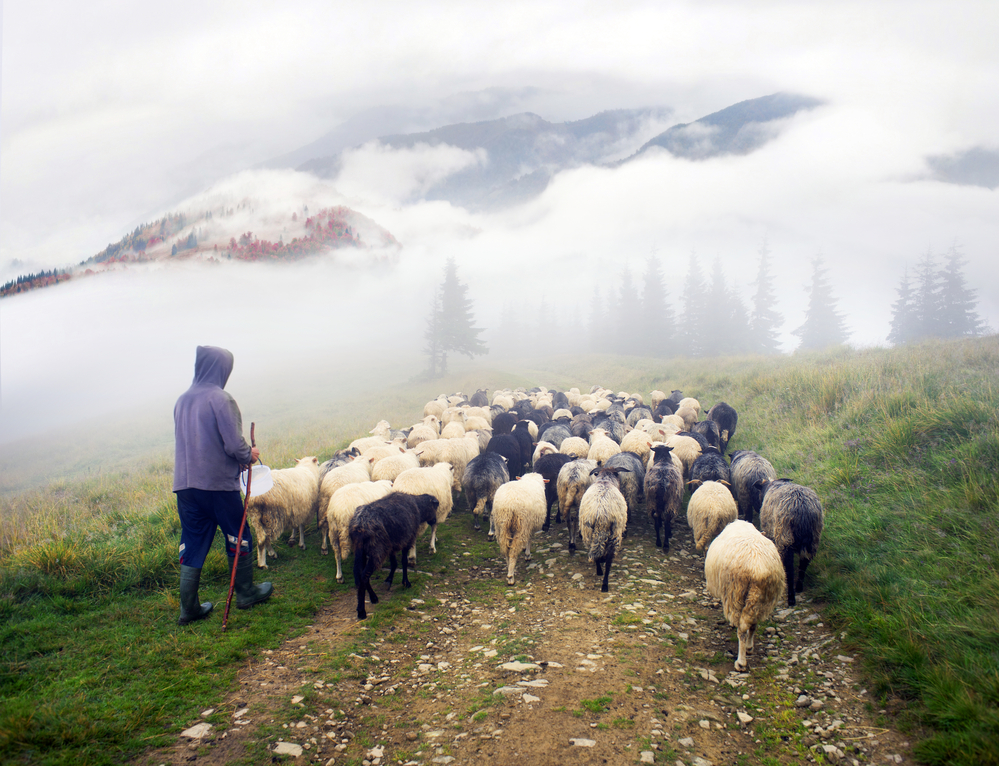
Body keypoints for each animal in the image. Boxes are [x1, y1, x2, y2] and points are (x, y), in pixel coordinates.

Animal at [705, 520, 785, 671]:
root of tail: (757, 569)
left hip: (736, 593)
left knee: (741, 630)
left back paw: (741, 661)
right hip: (762, 599)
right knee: (753, 624)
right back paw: (749, 646)